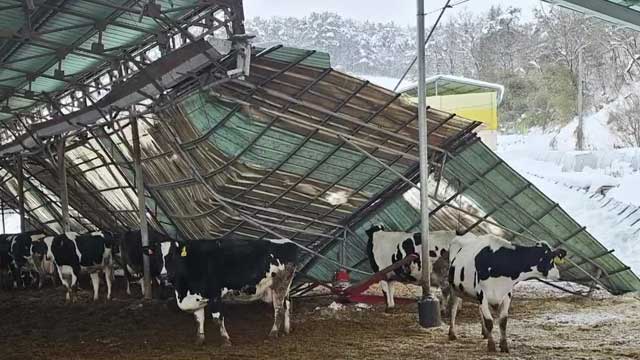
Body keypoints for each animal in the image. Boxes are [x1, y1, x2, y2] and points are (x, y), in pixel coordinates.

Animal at [155, 239, 298, 346]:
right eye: (156, 256)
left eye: (173, 256)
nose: (163, 276)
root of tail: (288, 242)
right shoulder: (197, 295)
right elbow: (199, 319)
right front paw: (200, 340)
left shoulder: (215, 294)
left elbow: (217, 319)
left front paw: (225, 341)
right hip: (285, 287)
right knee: (287, 305)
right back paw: (287, 330)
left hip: (280, 285)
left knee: (279, 310)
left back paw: (273, 333)